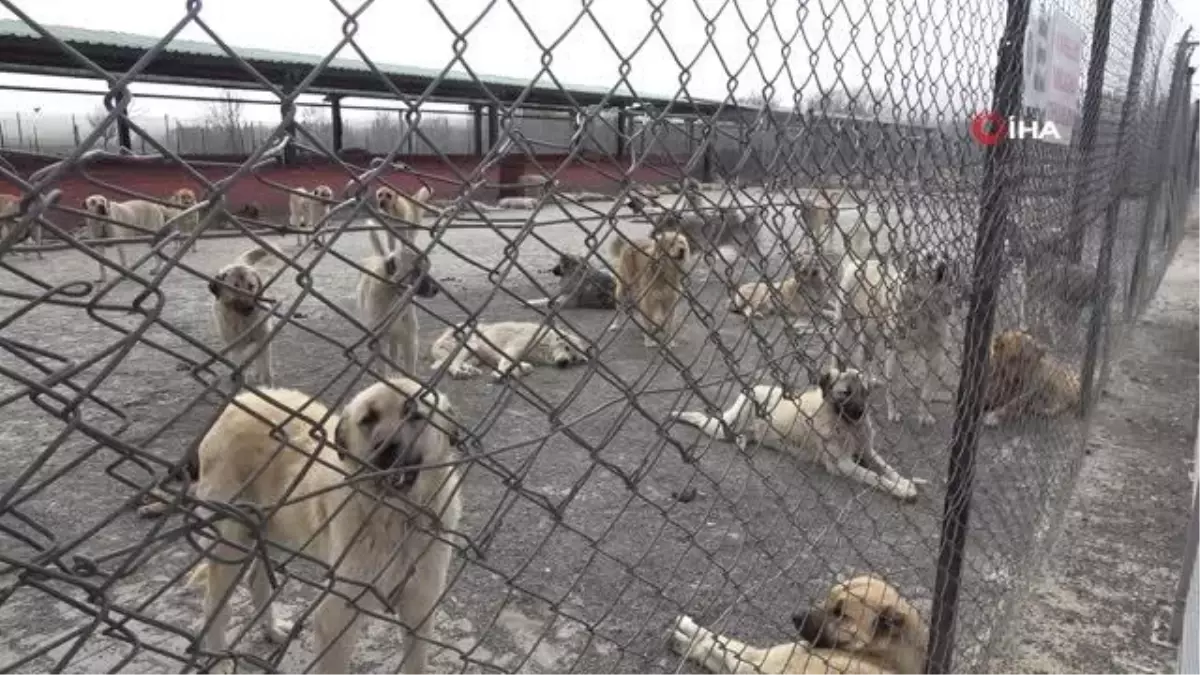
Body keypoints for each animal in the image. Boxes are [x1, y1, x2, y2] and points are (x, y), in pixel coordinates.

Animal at [187, 374, 463, 667]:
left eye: (414, 415)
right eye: (368, 420)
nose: (386, 448)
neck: (397, 516)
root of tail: (238, 401)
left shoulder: (419, 609)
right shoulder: (336, 616)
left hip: (274, 530)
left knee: (256, 579)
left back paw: (272, 630)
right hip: (230, 545)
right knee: (214, 606)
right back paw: (221, 661)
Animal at [360, 236, 446, 372]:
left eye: (425, 268)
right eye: (415, 271)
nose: (436, 289)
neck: (394, 297)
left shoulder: (410, 341)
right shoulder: (379, 343)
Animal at [672, 362, 921, 499]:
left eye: (865, 392)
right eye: (845, 393)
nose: (860, 413)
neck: (846, 426)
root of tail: (754, 388)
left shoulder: (868, 452)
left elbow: (887, 468)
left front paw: (904, 482)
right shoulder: (842, 464)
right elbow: (874, 476)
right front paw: (902, 490)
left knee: (742, 436)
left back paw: (742, 442)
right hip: (725, 426)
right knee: (703, 419)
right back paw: (678, 414)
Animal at [672, 571, 931, 672]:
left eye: (841, 614)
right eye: (828, 599)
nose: (795, 617)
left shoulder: (762, 662)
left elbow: (722, 647)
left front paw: (687, 641)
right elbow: (722, 643)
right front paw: (689, 630)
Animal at [835, 249, 955, 422]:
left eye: (946, 256)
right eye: (928, 257)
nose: (943, 266)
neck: (926, 305)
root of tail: (858, 261)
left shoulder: (937, 355)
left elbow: (927, 392)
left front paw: (924, 415)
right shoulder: (894, 352)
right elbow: (893, 387)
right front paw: (893, 412)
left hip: (871, 332)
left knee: (865, 357)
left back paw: (868, 379)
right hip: (843, 323)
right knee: (836, 349)